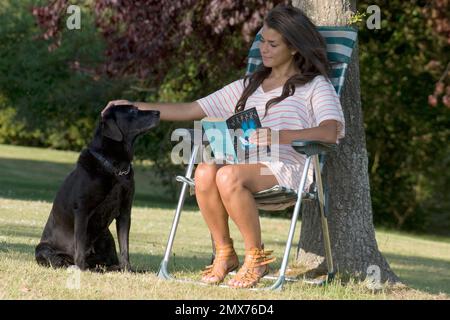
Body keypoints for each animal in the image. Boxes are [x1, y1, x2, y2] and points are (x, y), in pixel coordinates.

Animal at [34, 105, 160, 270]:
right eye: (132, 111)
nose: (158, 112)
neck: (115, 167)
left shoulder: (125, 211)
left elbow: (124, 246)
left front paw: (127, 270)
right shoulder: (82, 210)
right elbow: (80, 244)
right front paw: (80, 268)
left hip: (106, 237)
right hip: (42, 248)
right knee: (57, 258)